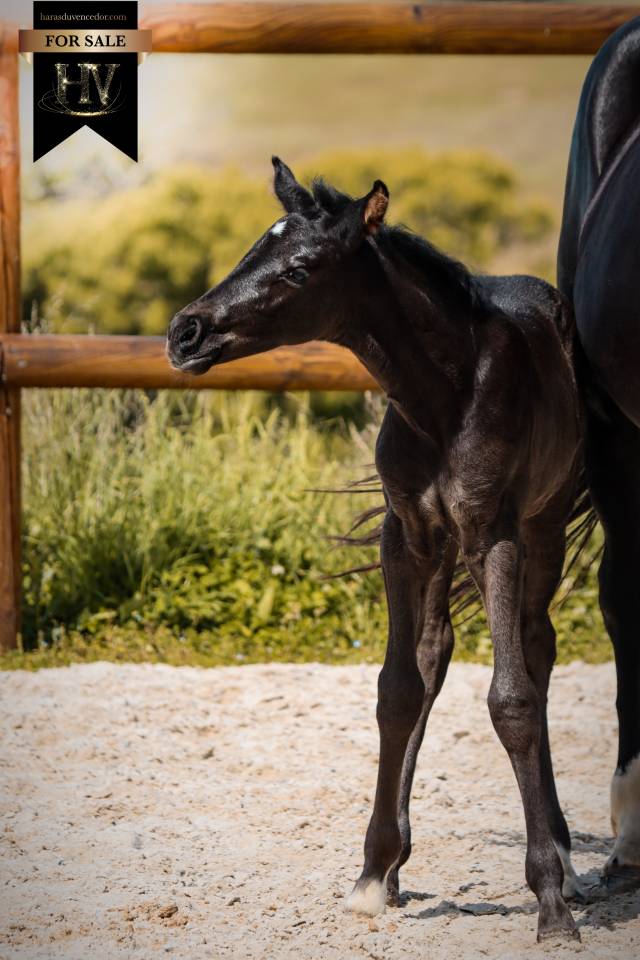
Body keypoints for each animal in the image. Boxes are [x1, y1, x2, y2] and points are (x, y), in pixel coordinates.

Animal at [167, 157, 585, 941]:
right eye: (252, 246)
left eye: (299, 269)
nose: (184, 332)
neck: (447, 397)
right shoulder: (406, 534)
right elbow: (399, 687)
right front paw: (370, 873)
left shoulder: (496, 533)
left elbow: (511, 698)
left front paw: (549, 903)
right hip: (444, 548)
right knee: (435, 649)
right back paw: (398, 867)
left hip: (546, 525)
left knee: (536, 648)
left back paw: (567, 859)